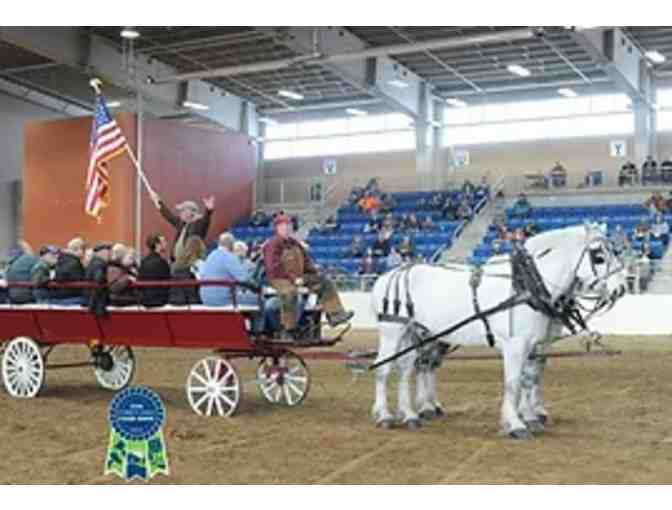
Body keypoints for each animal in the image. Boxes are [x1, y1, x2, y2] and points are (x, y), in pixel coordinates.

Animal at [370, 223, 628, 438]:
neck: (526, 286)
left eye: (615, 251)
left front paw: (532, 417)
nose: (622, 289)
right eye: (598, 256)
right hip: (393, 332)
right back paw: (386, 415)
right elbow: (513, 382)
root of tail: (387, 275)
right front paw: (515, 423)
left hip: (414, 333)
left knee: (408, 369)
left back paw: (411, 414)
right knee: (385, 369)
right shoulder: (516, 345)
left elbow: (530, 378)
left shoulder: (537, 344)